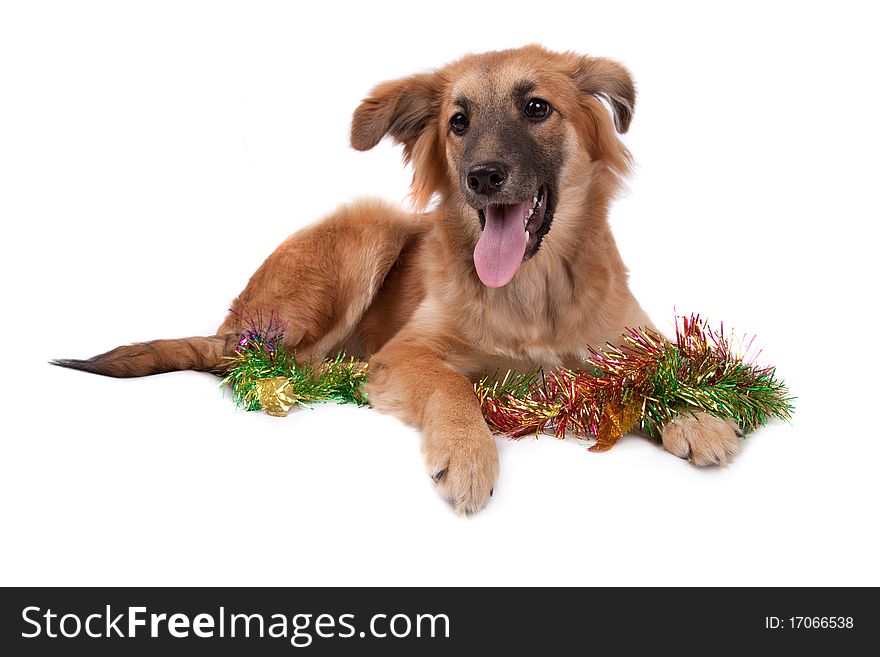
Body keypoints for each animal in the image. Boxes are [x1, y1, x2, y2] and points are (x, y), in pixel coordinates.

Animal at [53, 47, 744, 516]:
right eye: (458, 121)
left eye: (536, 108)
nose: (481, 176)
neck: (536, 292)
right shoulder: (407, 353)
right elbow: (452, 386)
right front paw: (467, 453)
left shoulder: (629, 340)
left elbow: (669, 368)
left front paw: (697, 413)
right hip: (370, 229)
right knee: (258, 359)